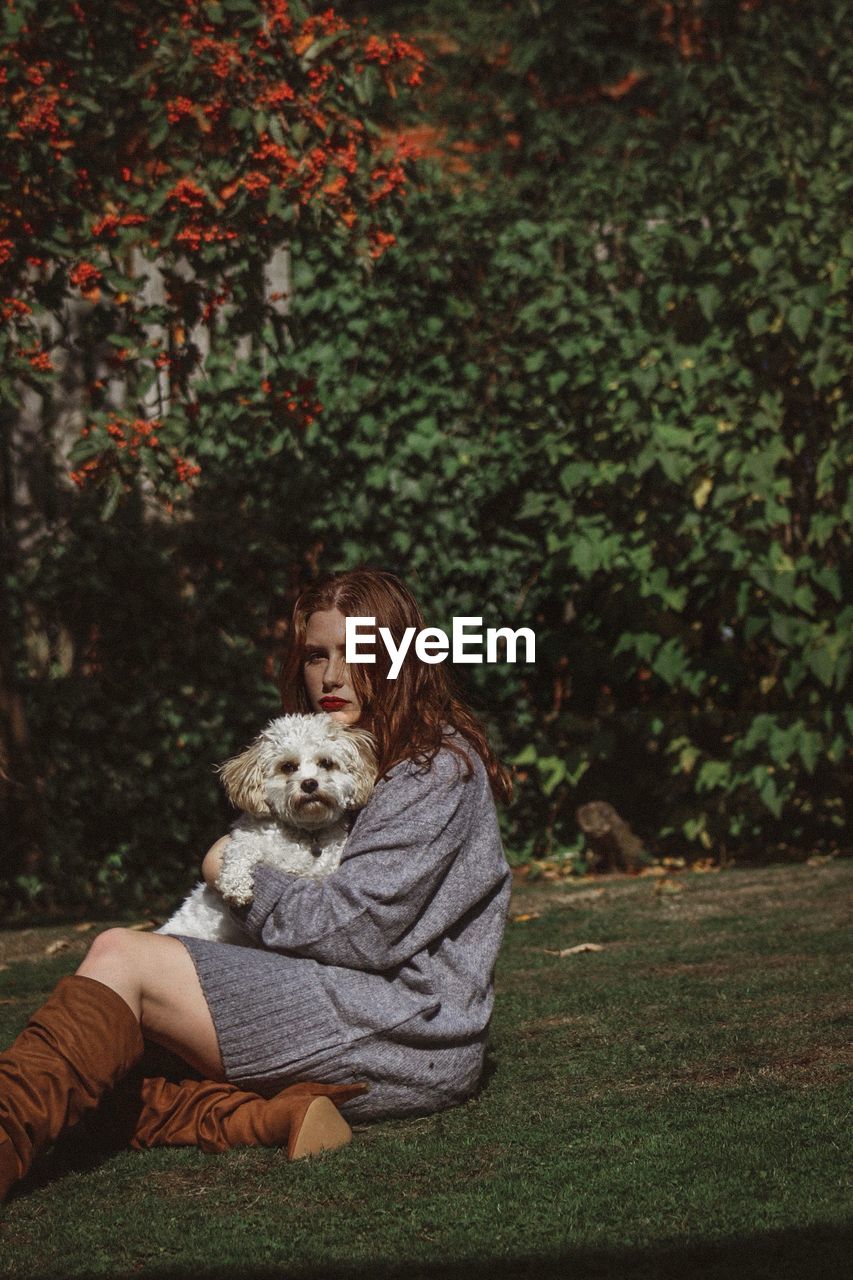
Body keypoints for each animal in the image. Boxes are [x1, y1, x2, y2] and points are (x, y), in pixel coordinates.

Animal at [159, 716, 371, 947]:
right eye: (288, 766)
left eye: (326, 763)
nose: (309, 784)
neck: (305, 832)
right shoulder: (248, 837)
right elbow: (240, 851)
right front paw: (236, 886)